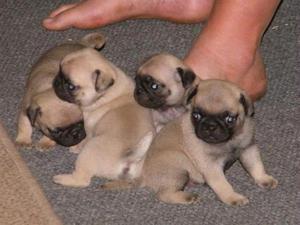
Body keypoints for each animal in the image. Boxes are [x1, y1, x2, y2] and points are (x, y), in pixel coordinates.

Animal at [51, 47, 155, 186]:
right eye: (59, 70)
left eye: (71, 86)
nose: (56, 81)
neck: (107, 92)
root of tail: (129, 159)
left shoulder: (89, 130)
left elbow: (85, 139)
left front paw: (77, 147)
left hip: (89, 150)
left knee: (83, 180)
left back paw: (61, 179)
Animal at [103, 79, 278, 206]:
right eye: (196, 115)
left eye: (229, 118)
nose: (210, 126)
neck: (229, 141)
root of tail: (144, 176)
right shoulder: (211, 167)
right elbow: (223, 184)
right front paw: (232, 197)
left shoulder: (248, 149)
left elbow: (256, 166)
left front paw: (263, 179)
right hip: (179, 167)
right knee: (163, 194)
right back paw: (186, 197)